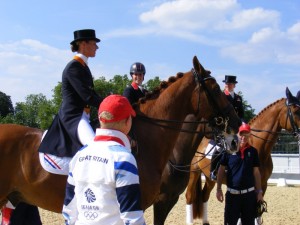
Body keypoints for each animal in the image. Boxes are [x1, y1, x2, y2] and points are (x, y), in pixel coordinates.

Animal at [185, 87, 300, 224]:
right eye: (296, 111)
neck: (256, 145)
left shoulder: (262, 184)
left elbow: (257, 211)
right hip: (194, 172)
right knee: (189, 196)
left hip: (209, 177)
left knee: (204, 196)